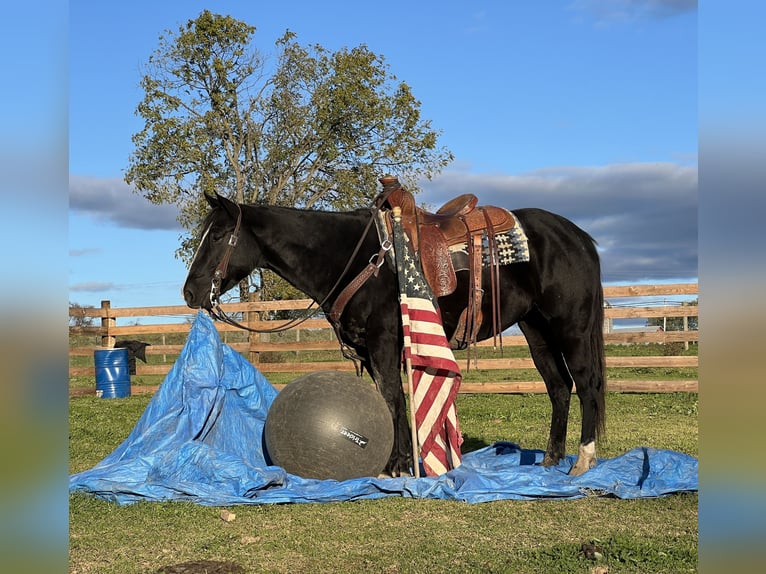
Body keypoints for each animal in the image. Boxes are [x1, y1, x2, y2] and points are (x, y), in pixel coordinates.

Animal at [184, 190, 608, 476]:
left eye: (218, 235)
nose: (190, 293)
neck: (353, 257)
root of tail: (576, 236)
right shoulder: (372, 350)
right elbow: (394, 400)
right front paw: (402, 462)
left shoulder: (383, 341)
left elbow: (390, 397)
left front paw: (393, 465)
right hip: (537, 331)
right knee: (558, 387)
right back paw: (551, 459)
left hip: (571, 328)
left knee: (586, 385)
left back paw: (583, 460)